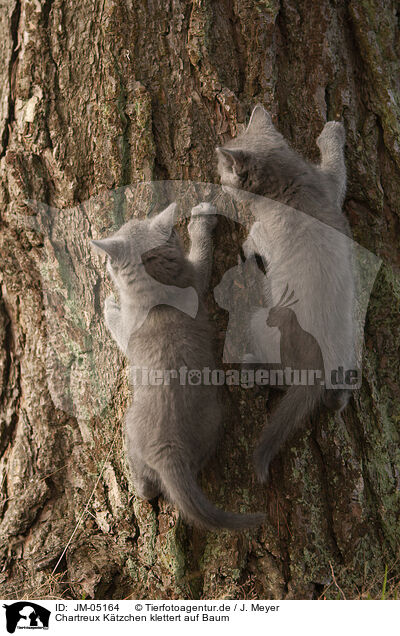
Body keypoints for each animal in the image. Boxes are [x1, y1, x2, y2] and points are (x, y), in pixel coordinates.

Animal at [92, 202, 264, 528]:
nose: (104, 264)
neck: (158, 297)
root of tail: (168, 450)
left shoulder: (194, 278)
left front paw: (108, 306)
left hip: (133, 433)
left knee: (146, 484)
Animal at [217, 105, 354, 482]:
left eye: (222, 175)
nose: (218, 184)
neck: (290, 182)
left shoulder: (265, 233)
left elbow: (252, 243)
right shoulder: (329, 185)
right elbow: (338, 168)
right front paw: (333, 133)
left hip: (263, 323)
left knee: (281, 376)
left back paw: (252, 369)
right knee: (335, 393)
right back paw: (339, 398)